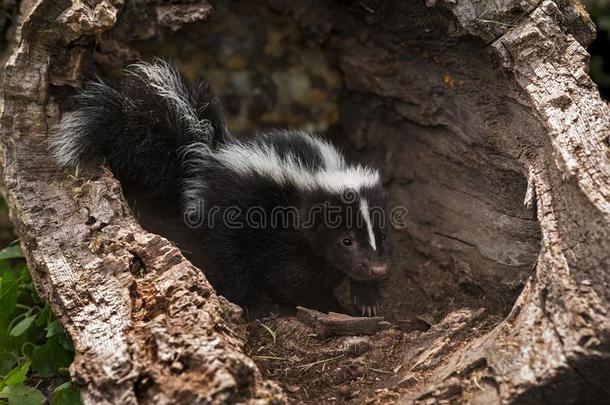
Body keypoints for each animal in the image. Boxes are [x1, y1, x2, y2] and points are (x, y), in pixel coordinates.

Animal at [53, 60, 394, 316]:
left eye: (382, 234)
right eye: (346, 240)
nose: (379, 269)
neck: (315, 175)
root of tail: (208, 154)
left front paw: (366, 298)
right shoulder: (282, 235)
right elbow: (291, 281)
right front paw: (334, 309)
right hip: (227, 221)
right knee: (231, 263)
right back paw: (252, 306)